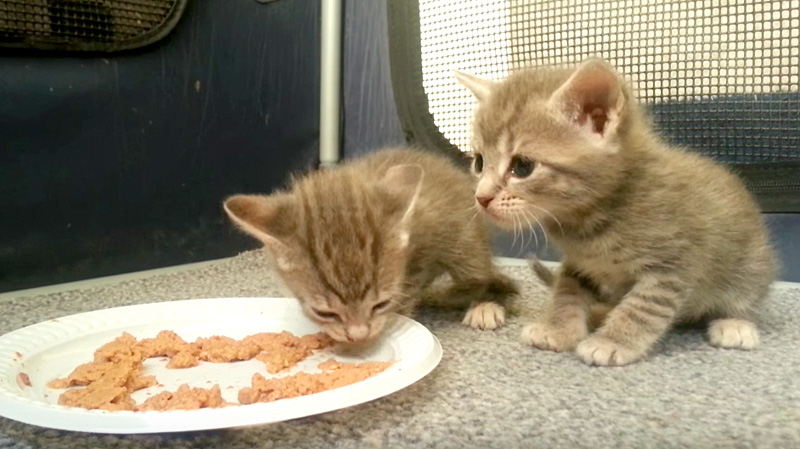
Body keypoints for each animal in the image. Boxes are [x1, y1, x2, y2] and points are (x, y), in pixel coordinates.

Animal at [223, 147, 520, 344]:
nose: (358, 336)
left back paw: (485, 305)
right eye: (324, 312)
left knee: (478, 274)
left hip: (465, 239)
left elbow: (406, 294)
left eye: (380, 304)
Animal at [456, 58, 776, 364]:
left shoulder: (673, 266)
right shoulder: (579, 263)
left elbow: (641, 308)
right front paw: (558, 329)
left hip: (751, 266)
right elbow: (566, 292)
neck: (593, 218)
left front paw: (612, 342)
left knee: (745, 297)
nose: (481, 197)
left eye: (522, 166)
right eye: (479, 162)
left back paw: (735, 324)